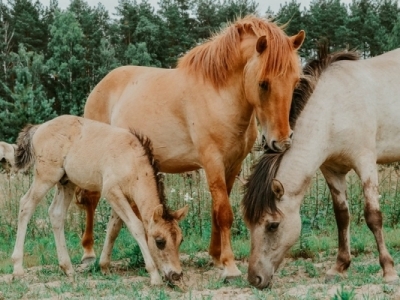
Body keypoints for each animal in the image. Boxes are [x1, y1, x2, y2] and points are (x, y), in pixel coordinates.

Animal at [10, 115, 189, 286]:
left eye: (181, 240)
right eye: (160, 242)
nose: (176, 275)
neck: (132, 160)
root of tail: (39, 127)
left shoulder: (123, 198)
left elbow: (113, 229)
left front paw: (104, 267)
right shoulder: (111, 192)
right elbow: (136, 226)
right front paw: (155, 276)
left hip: (66, 182)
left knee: (56, 213)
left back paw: (68, 268)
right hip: (46, 176)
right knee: (26, 205)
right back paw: (18, 268)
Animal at [77, 15, 304, 278]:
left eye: (294, 81)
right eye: (263, 83)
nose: (282, 141)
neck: (218, 95)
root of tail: (101, 84)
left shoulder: (232, 165)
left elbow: (218, 210)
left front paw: (216, 256)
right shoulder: (212, 162)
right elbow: (224, 213)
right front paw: (229, 265)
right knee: (91, 201)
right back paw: (88, 254)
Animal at [242, 44, 400, 288]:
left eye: (273, 225)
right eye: (249, 223)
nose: (255, 279)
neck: (334, 108)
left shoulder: (366, 163)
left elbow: (373, 216)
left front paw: (389, 270)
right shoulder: (332, 170)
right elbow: (342, 216)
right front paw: (339, 267)